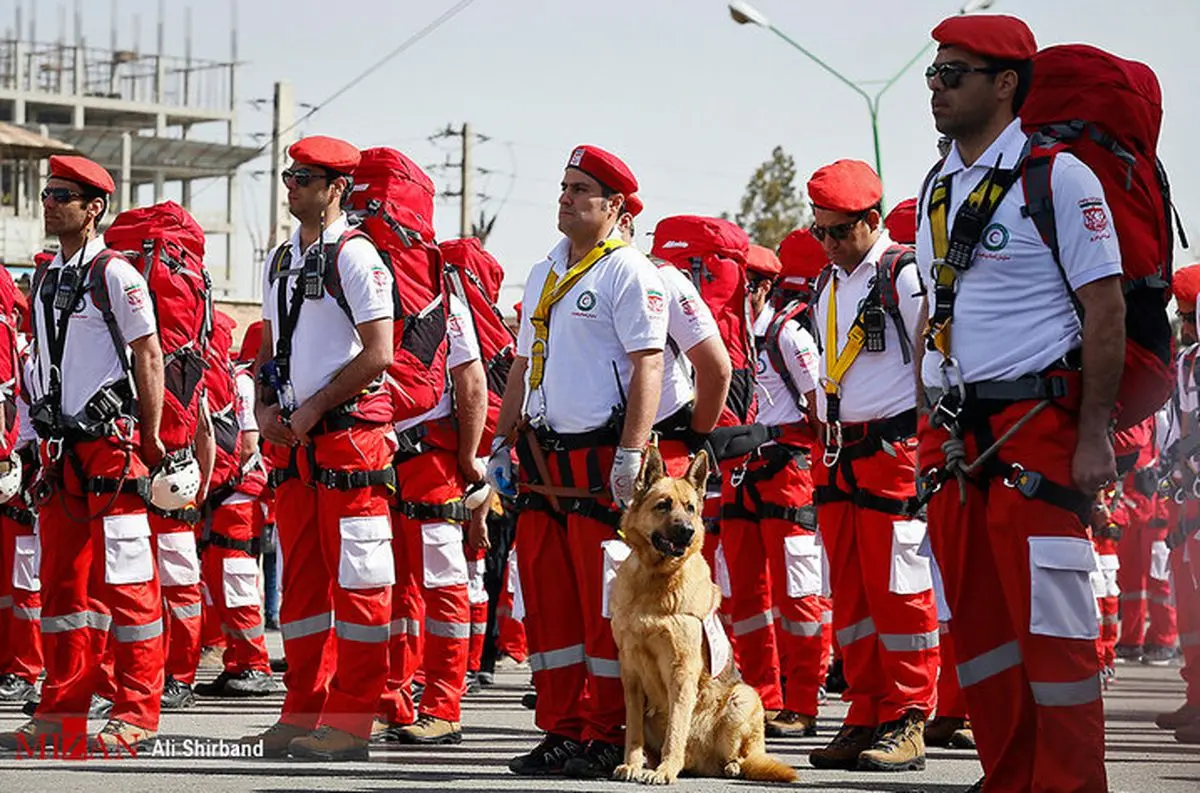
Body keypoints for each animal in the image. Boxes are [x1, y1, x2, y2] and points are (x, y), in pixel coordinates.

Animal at [609, 448, 796, 782]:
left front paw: (665, 770)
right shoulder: (630, 673)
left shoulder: (682, 671)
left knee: (744, 756)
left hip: (744, 697)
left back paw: (730, 765)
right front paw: (632, 764)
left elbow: (675, 729)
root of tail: (702, 763)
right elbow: (633, 731)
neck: (657, 580)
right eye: (663, 505)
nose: (688, 532)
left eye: (691, 508)